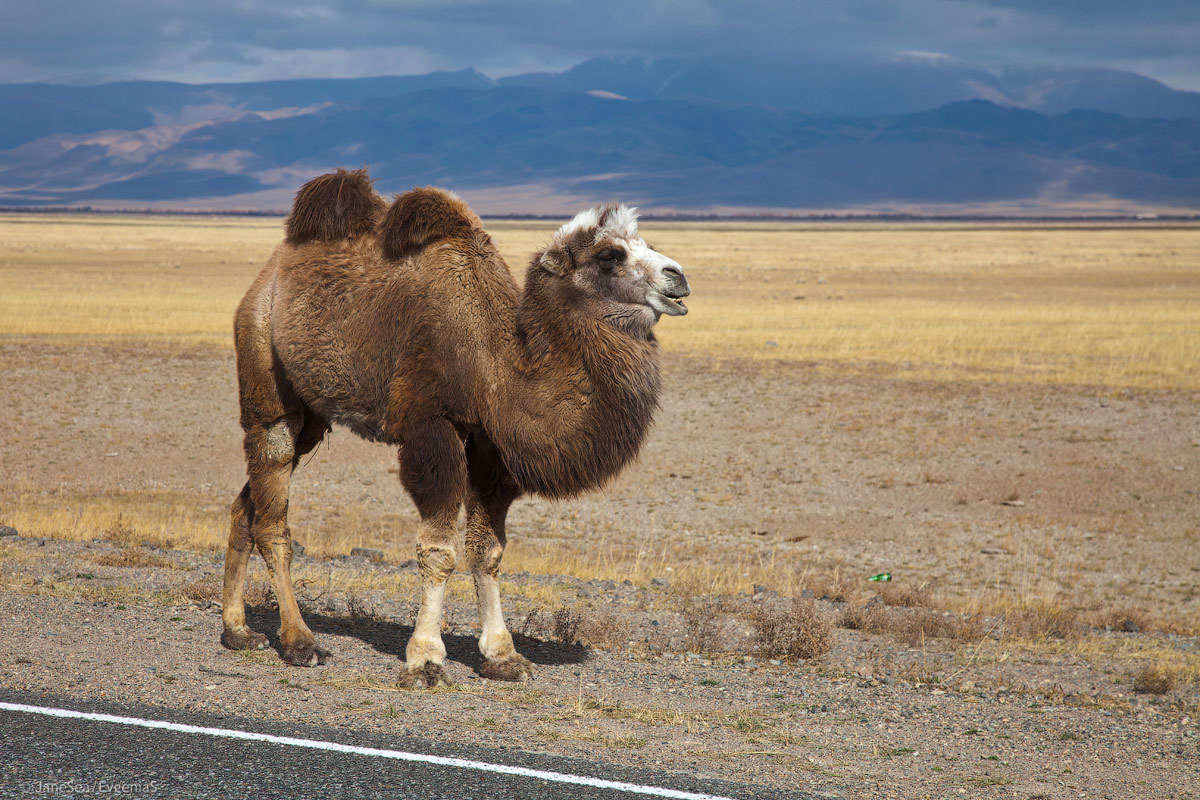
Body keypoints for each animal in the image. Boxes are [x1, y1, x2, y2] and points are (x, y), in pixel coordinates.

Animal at [220, 169, 691, 690]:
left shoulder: (490, 448)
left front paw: (503, 656)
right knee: (273, 514)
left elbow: (488, 551)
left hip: (312, 414)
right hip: (266, 379)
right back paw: (300, 642)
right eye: (609, 256)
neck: (495, 361)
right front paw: (425, 658)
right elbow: (438, 550)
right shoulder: (432, 428)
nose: (678, 277)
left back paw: (237, 630)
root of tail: (269, 275)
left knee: (248, 504)